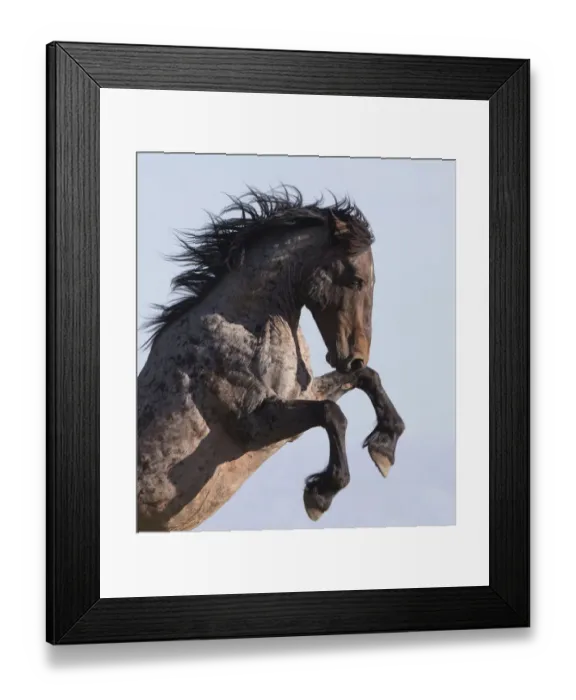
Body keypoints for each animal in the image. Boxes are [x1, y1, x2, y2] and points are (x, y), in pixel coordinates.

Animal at [137, 186, 405, 531]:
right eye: (356, 279)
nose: (355, 357)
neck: (245, 329)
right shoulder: (253, 424)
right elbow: (332, 414)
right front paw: (321, 494)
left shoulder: (302, 394)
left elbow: (366, 379)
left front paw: (384, 446)